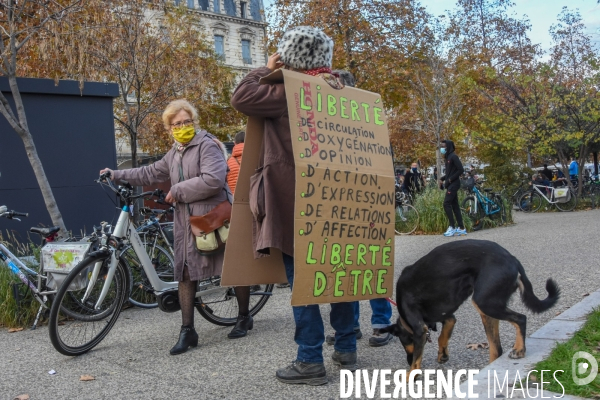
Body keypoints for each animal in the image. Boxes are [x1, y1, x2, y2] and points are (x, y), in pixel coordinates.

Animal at [382, 239, 560, 374]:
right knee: (496, 349)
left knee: (521, 318)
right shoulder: (448, 318)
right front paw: (442, 354)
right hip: (487, 309)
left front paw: (409, 376)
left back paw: (519, 349)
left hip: (486, 303)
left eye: (404, 341)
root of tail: (512, 259)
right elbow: (442, 336)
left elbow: (416, 362)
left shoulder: (419, 329)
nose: (407, 360)